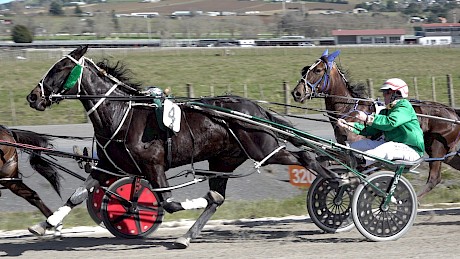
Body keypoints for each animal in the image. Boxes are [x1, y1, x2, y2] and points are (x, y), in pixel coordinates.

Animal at [25, 45, 334, 249]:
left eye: (60, 68)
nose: (33, 97)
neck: (122, 113)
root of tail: (255, 107)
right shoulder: (110, 167)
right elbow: (77, 194)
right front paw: (45, 224)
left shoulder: (153, 166)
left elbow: (169, 202)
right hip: (224, 160)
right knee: (218, 198)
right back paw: (186, 236)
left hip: (263, 149)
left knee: (305, 155)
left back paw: (337, 181)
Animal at [292, 49, 460, 200]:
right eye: (306, 69)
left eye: (318, 70)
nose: (297, 93)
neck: (348, 108)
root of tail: (452, 112)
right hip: (448, 154)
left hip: (437, 148)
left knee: (434, 179)